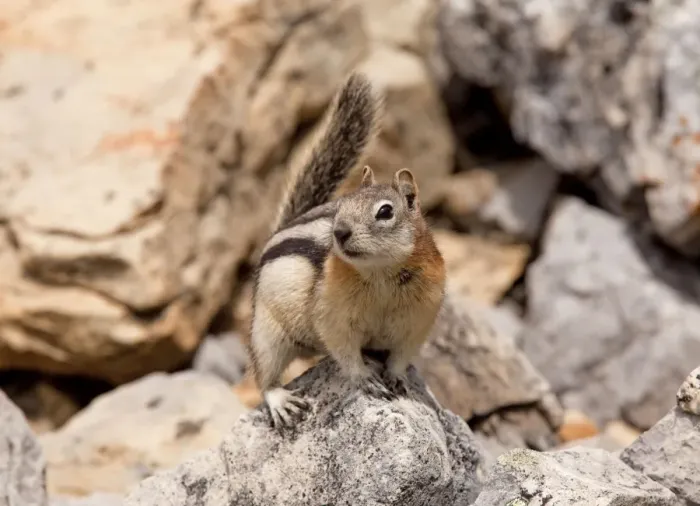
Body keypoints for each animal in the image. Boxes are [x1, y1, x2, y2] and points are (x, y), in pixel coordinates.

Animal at [248, 72, 446, 428]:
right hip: (266, 330)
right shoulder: (333, 317)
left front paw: (396, 376)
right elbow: (345, 352)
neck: (381, 274)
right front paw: (366, 378)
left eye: (385, 212)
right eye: (342, 205)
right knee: (265, 373)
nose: (339, 232)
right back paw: (281, 401)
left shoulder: (419, 320)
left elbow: (403, 354)